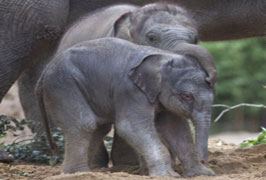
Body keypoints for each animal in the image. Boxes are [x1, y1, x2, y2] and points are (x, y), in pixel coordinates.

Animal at [35, 37, 215, 177]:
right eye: (187, 96)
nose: (204, 160)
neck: (161, 56)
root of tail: (44, 71)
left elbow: (176, 129)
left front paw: (203, 174)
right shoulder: (130, 92)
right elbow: (130, 127)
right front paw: (168, 176)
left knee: (98, 128)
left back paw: (86, 172)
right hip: (63, 85)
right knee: (84, 124)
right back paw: (78, 173)